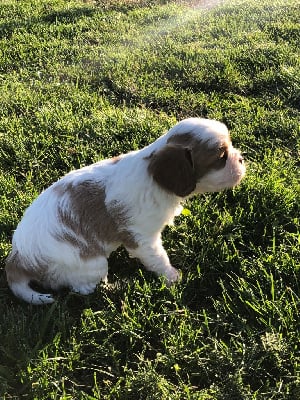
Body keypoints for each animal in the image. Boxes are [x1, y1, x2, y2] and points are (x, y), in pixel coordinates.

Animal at [5, 117, 246, 304]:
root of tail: (18, 259)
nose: (242, 159)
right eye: (221, 157)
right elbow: (159, 259)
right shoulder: (142, 239)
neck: (152, 174)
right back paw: (116, 287)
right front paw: (173, 277)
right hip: (91, 264)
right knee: (84, 288)